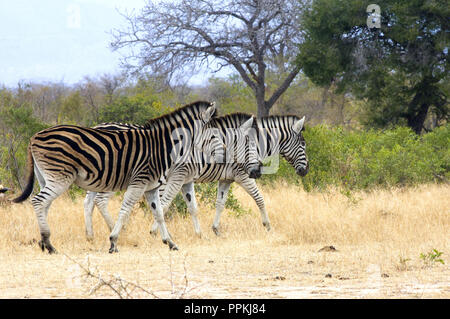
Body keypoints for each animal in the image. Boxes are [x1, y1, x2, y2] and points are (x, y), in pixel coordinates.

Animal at [11, 101, 219, 254]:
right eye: (215, 135)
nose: (221, 155)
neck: (163, 147)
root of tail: (34, 136)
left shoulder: (151, 187)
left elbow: (159, 213)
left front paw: (170, 242)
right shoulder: (139, 182)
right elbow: (125, 210)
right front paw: (113, 241)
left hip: (46, 177)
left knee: (45, 204)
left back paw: (44, 242)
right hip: (60, 177)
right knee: (39, 201)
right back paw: (49, 243)